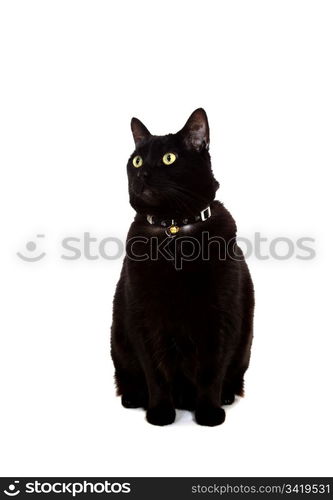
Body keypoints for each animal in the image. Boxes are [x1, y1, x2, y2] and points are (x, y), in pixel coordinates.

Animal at [110, 109, 253, 426]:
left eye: (168, 159)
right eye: (137, 161)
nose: (142, 173)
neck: (174, 230)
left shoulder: (220, 315)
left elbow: (212, 370)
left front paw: (209, 413)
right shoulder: (144, 316)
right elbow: (155, 371)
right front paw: (160, 413)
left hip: (244, 349)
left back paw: (225, 396)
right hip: (118, 344)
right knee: (128, 378)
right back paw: (134, 398)